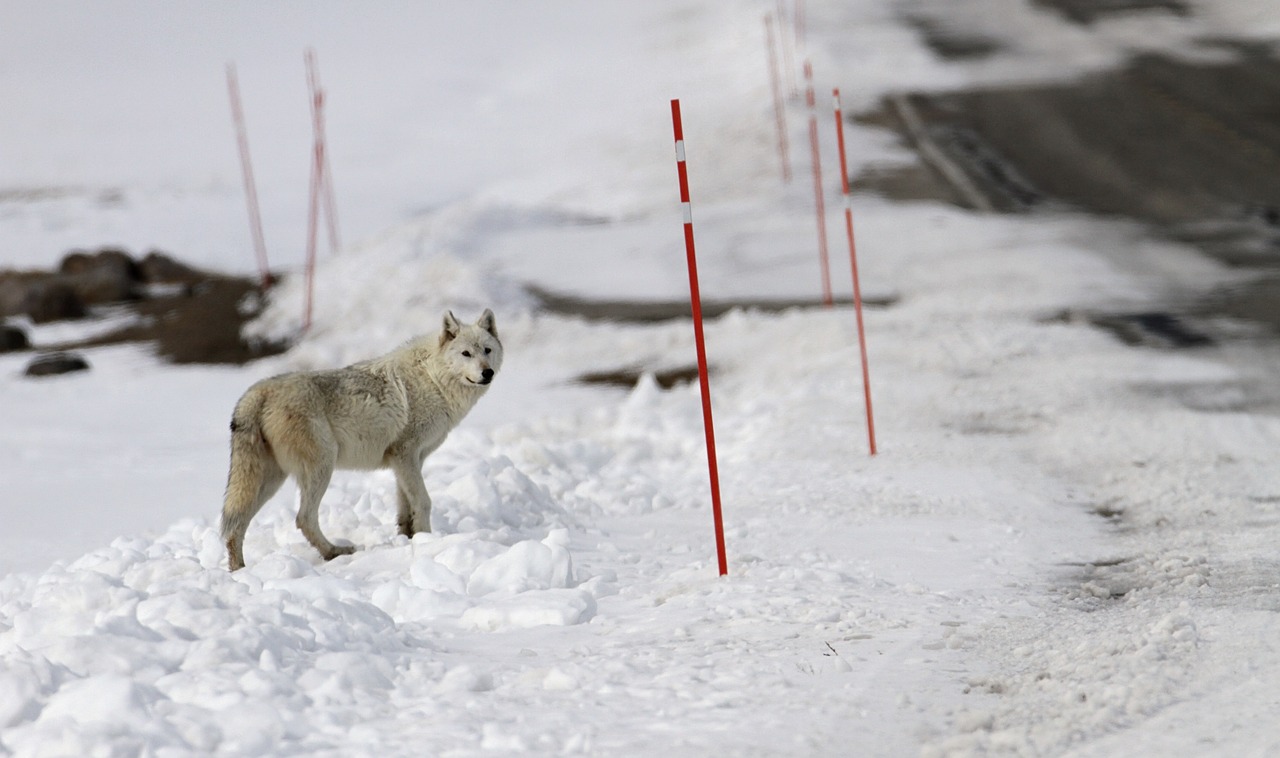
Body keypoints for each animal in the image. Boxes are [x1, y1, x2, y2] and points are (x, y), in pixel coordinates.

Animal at [217, 307, 501, 568]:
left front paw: (408, 540)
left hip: (270, 481)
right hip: (321, 467)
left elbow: (405, 508)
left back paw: (238, 570)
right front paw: (426, 540)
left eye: (487, 350)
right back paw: (334, 552)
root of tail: (257, 392)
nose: (487, 373)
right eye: (466, 354)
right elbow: (423, 501)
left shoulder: (409, 460)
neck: (432, 379)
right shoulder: (406, 454)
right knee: (303, 518)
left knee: (236, 525)